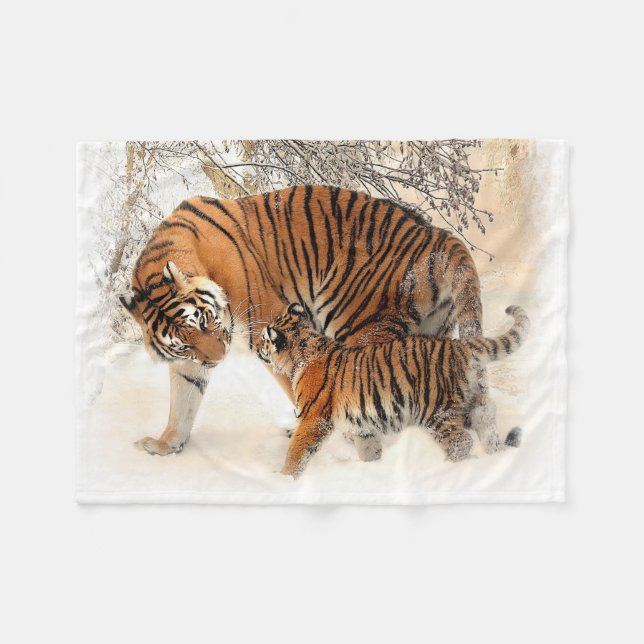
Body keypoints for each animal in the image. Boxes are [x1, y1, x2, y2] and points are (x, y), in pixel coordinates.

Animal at [120, 185, 496, 458]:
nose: (218, 359)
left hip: (359, 325)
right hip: (432, 334)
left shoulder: (269, 327)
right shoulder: (189, 363)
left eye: (204, 321)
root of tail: (438, 235)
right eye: (183, 344)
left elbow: (300, 386)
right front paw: (166, 445)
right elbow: (182, 403)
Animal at [259, 303, 529, 478]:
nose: (257, 348)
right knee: (487, 422)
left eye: (264, 339)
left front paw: (283, 478)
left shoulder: (313, 418)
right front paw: (372, 468)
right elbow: (369, 449)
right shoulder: (362, 424)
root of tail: (459, 345)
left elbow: (297, 451)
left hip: (436, 411)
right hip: (474, 402)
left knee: (461, 441)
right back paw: (495, 456)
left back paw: (446, 469)